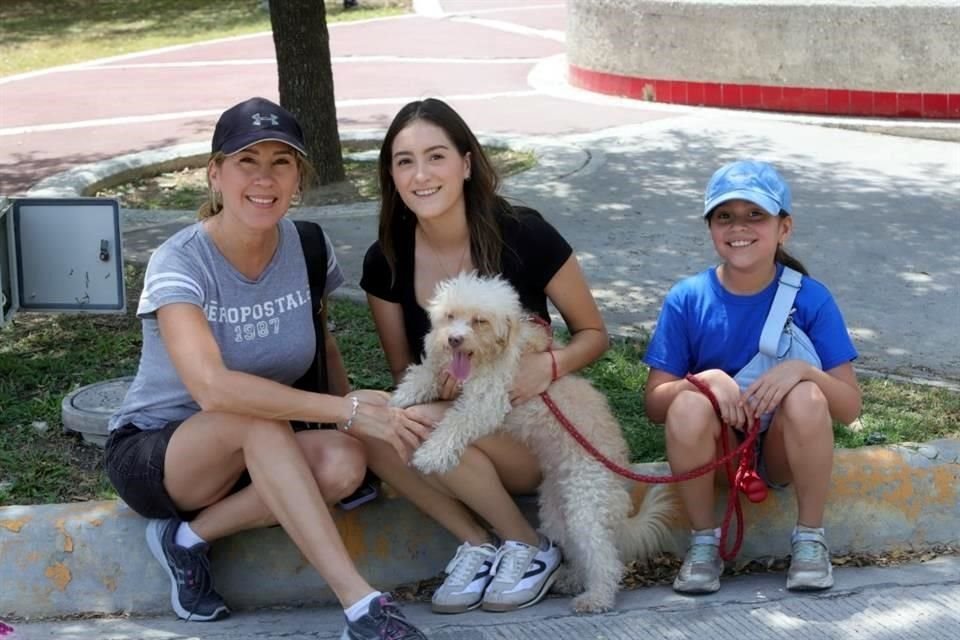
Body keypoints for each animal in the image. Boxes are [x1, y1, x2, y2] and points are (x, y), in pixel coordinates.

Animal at [390, 272, 676, 612]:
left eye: (479, 321)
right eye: (450, 316)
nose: (454, 339)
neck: (494, 354)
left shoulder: (488, 402)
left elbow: (455, 423)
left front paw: (431, 454)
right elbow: (424, 374)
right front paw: (399, 398)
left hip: (585, 505)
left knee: (604, 558)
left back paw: (596, 597)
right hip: (557, 512)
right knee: (578, 551)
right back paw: (571, 580)